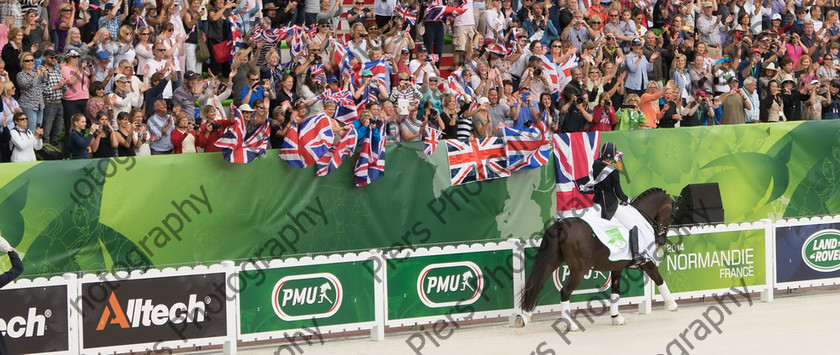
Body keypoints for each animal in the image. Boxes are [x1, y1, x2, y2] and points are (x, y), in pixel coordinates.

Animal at [520, 189, 676, 330]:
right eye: (672, 215)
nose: (661, 240)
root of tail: (562, 224)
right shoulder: (646, 261)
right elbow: (658, 278)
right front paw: (672, 304)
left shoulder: (617, 266)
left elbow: (615, 290)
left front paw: (616, 317)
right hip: (579, 270)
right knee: (564, 291)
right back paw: (571, 325)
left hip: (552, 262)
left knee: (536, 285)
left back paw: (523, 317)